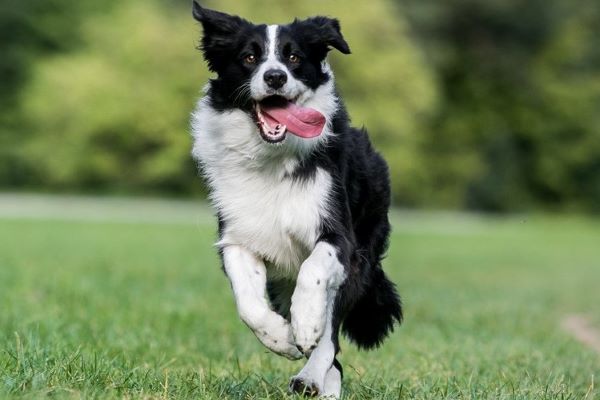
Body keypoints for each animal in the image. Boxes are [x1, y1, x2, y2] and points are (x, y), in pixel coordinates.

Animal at [190, 2, 400, 396]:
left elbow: (314, 272)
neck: (272, 159)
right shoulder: (237, 238)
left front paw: (304, 325)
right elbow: (248, 304)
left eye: (294, 57)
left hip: (361, 261)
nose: (275, 77)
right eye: (249, 57)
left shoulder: (340, 237)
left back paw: (312, 377)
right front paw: (281, 338)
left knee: (331, 338)